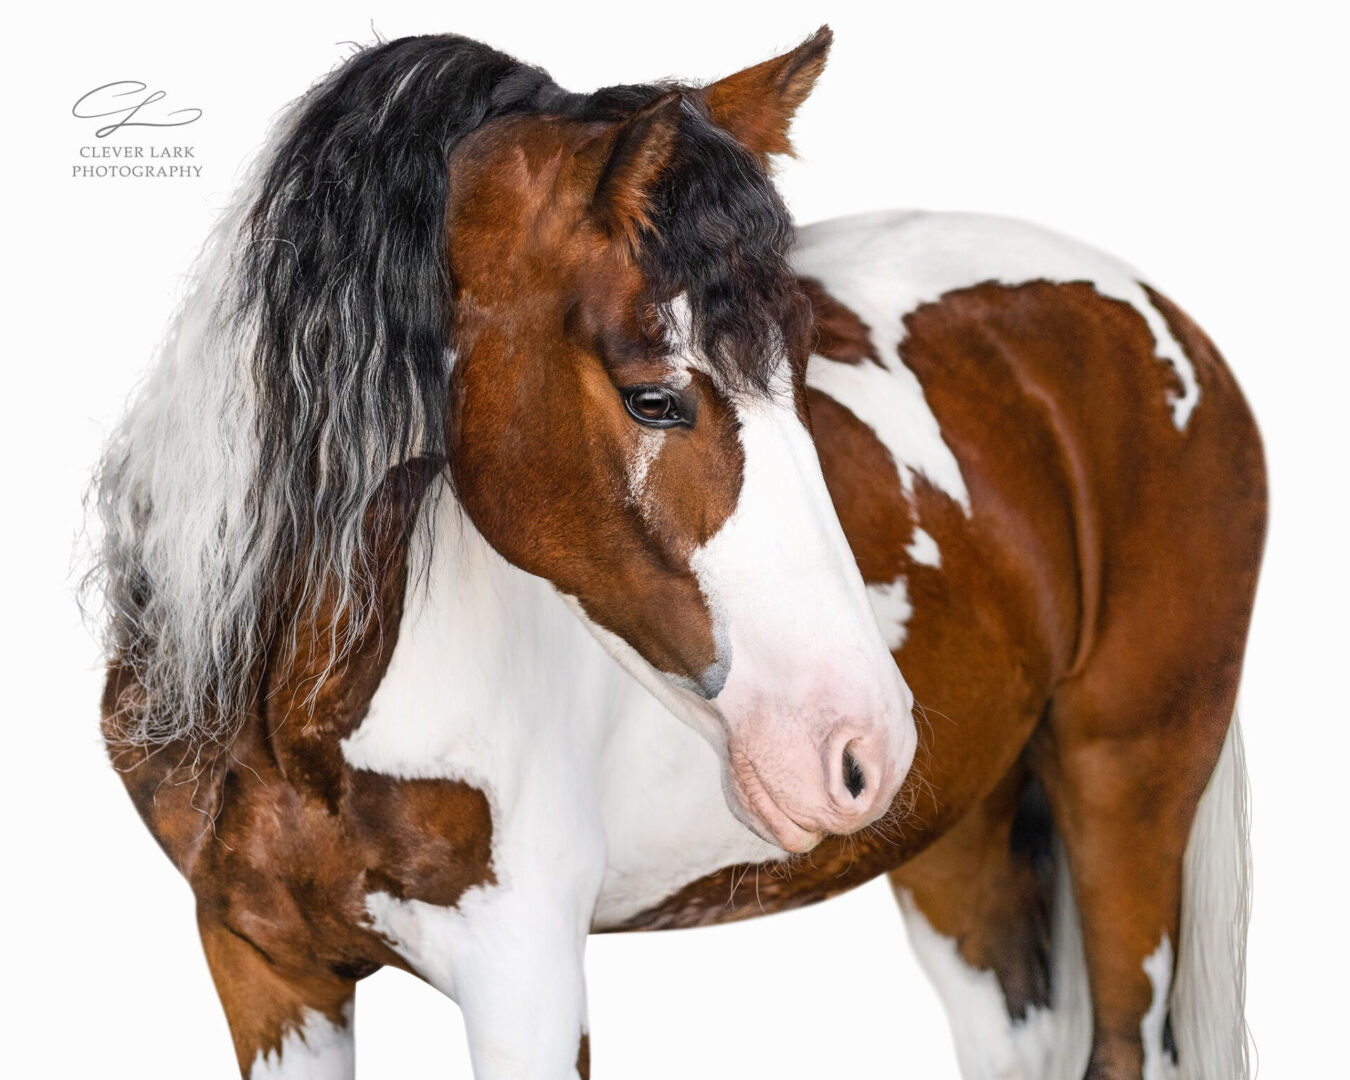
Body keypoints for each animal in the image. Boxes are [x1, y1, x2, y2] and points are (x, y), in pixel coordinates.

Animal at [92, 23, 1263, 1080]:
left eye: (803, 363)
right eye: (653, 397)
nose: (866, 745)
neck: (295, 705)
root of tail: (1154, 314)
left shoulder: (524, 980)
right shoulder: (266, 970)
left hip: (1130, 790)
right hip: (965, 847)